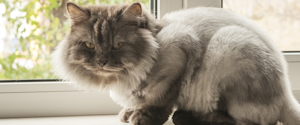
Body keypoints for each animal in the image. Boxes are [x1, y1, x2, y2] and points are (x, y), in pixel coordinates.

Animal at [51, 1, 300, 125]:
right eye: (90, 45)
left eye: (117, 46)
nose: (102, 62)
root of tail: (287, 93)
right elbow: (137, 101)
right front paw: (129, 112)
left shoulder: (177, 57)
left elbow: (158, 101)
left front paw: (142, 117)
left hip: (228, 45)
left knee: (238, 121)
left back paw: (187, 117)